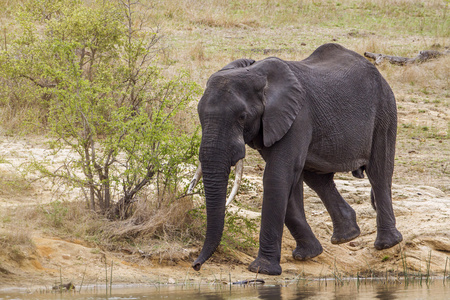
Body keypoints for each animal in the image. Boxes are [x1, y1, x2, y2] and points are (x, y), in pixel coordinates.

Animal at [192, 43, 402, 276]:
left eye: (242, 117)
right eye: (200, 115)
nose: (196, 265)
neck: (256, 74)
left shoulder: (297, 116)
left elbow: (277, 176)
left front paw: (262, 270)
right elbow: (287, 179)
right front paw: (307, 255)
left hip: (385, 110)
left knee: (379, 172)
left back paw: (386, 244)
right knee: (318, 178)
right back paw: (347, 237)